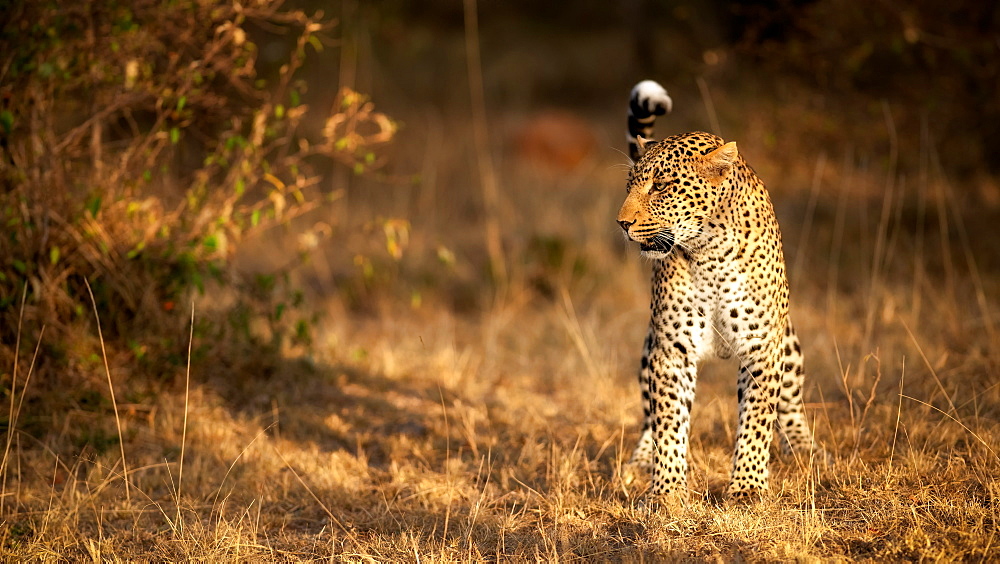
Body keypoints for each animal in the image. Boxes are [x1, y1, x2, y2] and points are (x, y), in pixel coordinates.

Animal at [616, 79, 820, 498]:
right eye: (630, 186)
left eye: (660, 186)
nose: (622, 223)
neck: (708, 253)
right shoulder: (671, 350)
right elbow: (668, 424)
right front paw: (666, 492)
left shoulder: (762, 346)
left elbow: (756, 422)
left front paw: (746, 489)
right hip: (649, 348)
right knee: (648, 415)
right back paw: (639, 461)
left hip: (788, 344)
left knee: (791, 405)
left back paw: (803, 449)